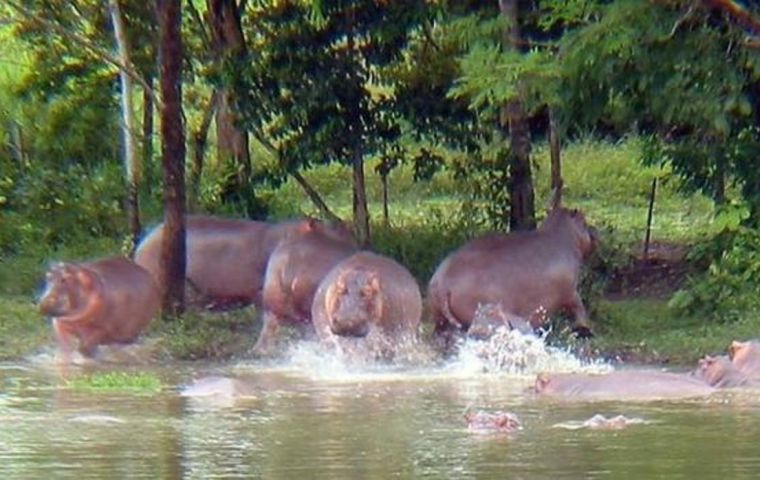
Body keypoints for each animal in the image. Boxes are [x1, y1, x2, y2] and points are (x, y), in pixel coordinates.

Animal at [428, 204, 600, 344]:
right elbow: (580, 309)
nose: (596, 231)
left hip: (440, 320)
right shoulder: (571, 292)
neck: (562, 233)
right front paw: (585, 329)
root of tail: (441, 283)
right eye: (584, 221)